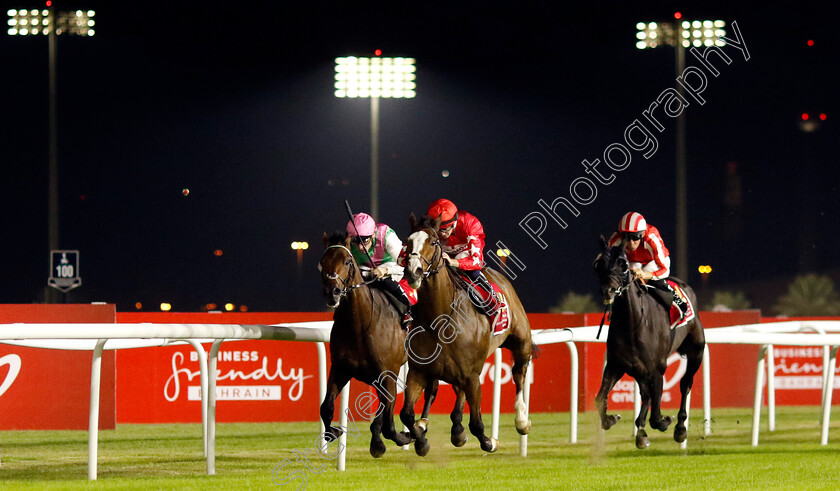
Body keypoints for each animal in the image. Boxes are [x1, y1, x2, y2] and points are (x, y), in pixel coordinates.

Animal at [320, 234, 440, 458]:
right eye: (322, 262)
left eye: (347, 262)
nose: (333, 293)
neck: (360, 323)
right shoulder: (341, 369)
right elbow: (326, 407)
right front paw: (335, 431)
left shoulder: (387, 372)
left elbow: (390, 425)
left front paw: (411, 438)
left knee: (431, 389)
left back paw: (421, 428)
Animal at [592, 238, 704, 450]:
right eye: (599, 264)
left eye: (623, 265)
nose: (608, 290)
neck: (633, 324)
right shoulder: (617, 365)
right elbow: (600, 398)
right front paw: (611, 419)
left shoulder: (657, 368)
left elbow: (656, 411)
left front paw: (664, 421)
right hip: (639, 370)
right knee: (645, 395)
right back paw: (642, 430)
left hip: (696, 351)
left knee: (685, 384)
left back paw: (680, 428)